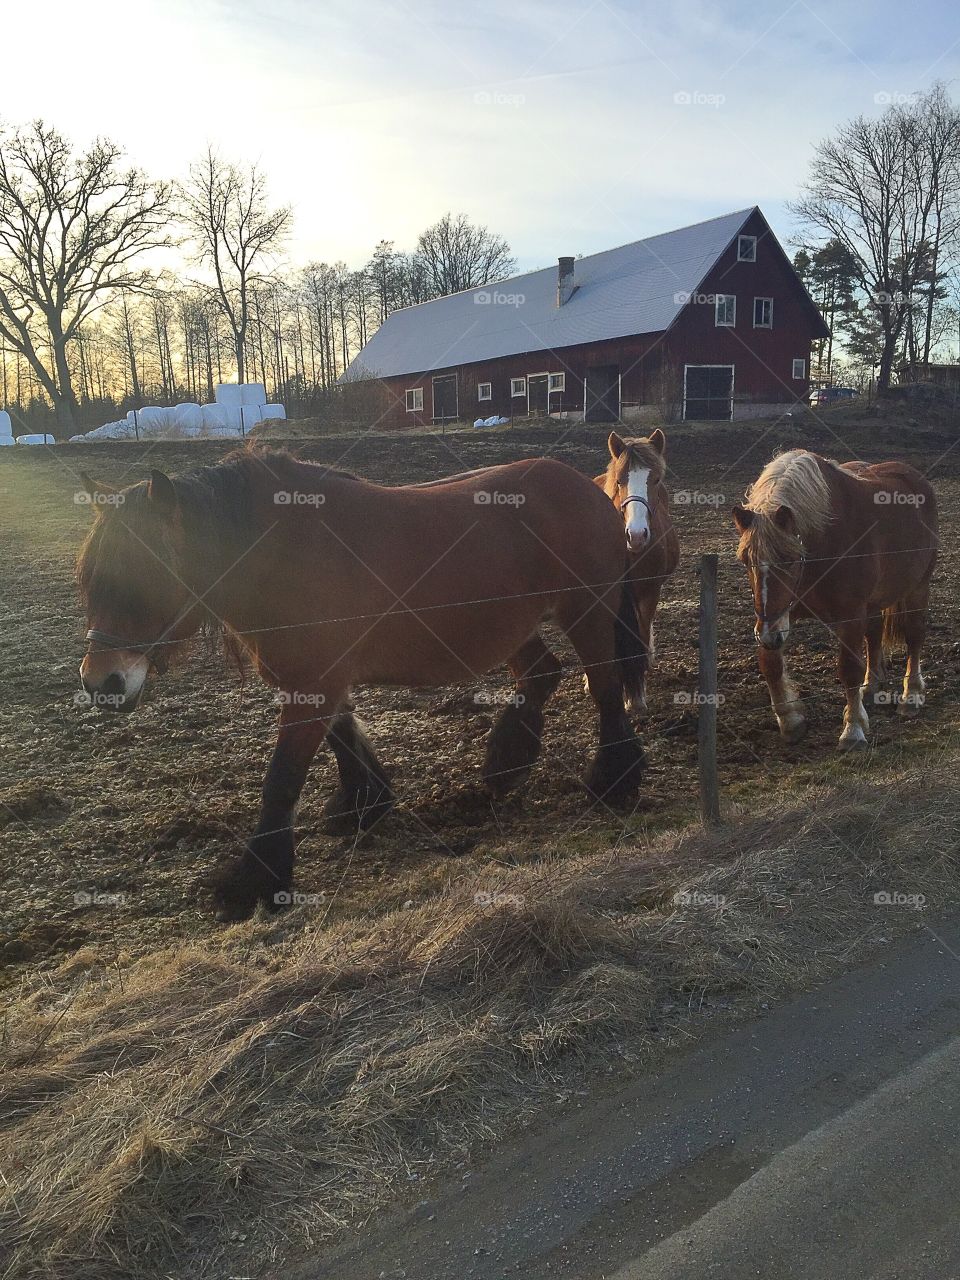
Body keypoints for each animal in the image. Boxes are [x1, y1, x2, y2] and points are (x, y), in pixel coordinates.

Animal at [77, 450, 647, 921]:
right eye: (90, 579)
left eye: (146, 576)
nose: (101, 682)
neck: (283, 555)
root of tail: (590, 489)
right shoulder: (317, 680)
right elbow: (344, 738)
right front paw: (364, 803)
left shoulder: (316, 679)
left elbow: (282, 779)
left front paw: (254, 881)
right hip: (511, 626)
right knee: (542, 673)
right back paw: (507, 763)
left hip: (588, 614)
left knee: (603, 686)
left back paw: (614, 780)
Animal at [593, 427, 686, 711]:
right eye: (620, 480)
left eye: (655, 479)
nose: (635, 535)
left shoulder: (649, 592)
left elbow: (643, 632)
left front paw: (637, 694)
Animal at [737, 450, 942, 747]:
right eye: (745, 560)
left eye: (788, 559)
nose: (767, 635)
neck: (822, 542)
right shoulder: (778, 615)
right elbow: (770, 664)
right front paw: (790, 720)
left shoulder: (850, 616)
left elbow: (848, 669)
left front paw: (853, 728)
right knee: (874, 636)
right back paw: (871, 687)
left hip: (918, 588)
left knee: (914, 637)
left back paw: (911, 695)